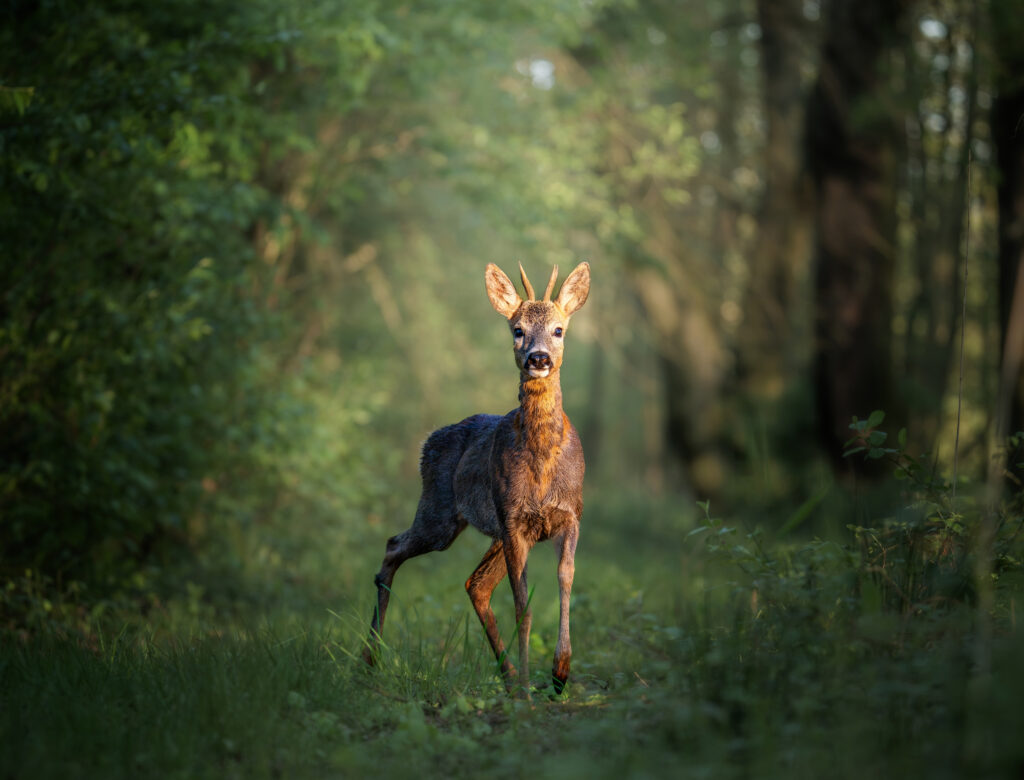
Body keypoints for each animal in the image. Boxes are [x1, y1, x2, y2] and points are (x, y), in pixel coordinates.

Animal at [362, 261, 591, 697]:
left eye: (559, 330)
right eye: (517, 329)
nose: (538, 357)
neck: (543, 464)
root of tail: (428, 441)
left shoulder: (570, 514)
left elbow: (566, 581)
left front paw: (559, 674)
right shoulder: (514, 520)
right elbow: (523, 605)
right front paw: (530, 691)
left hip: (487, 530)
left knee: (476, 584)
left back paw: (508, 676)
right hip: (441, 514)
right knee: (394, 545)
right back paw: (369, 660)